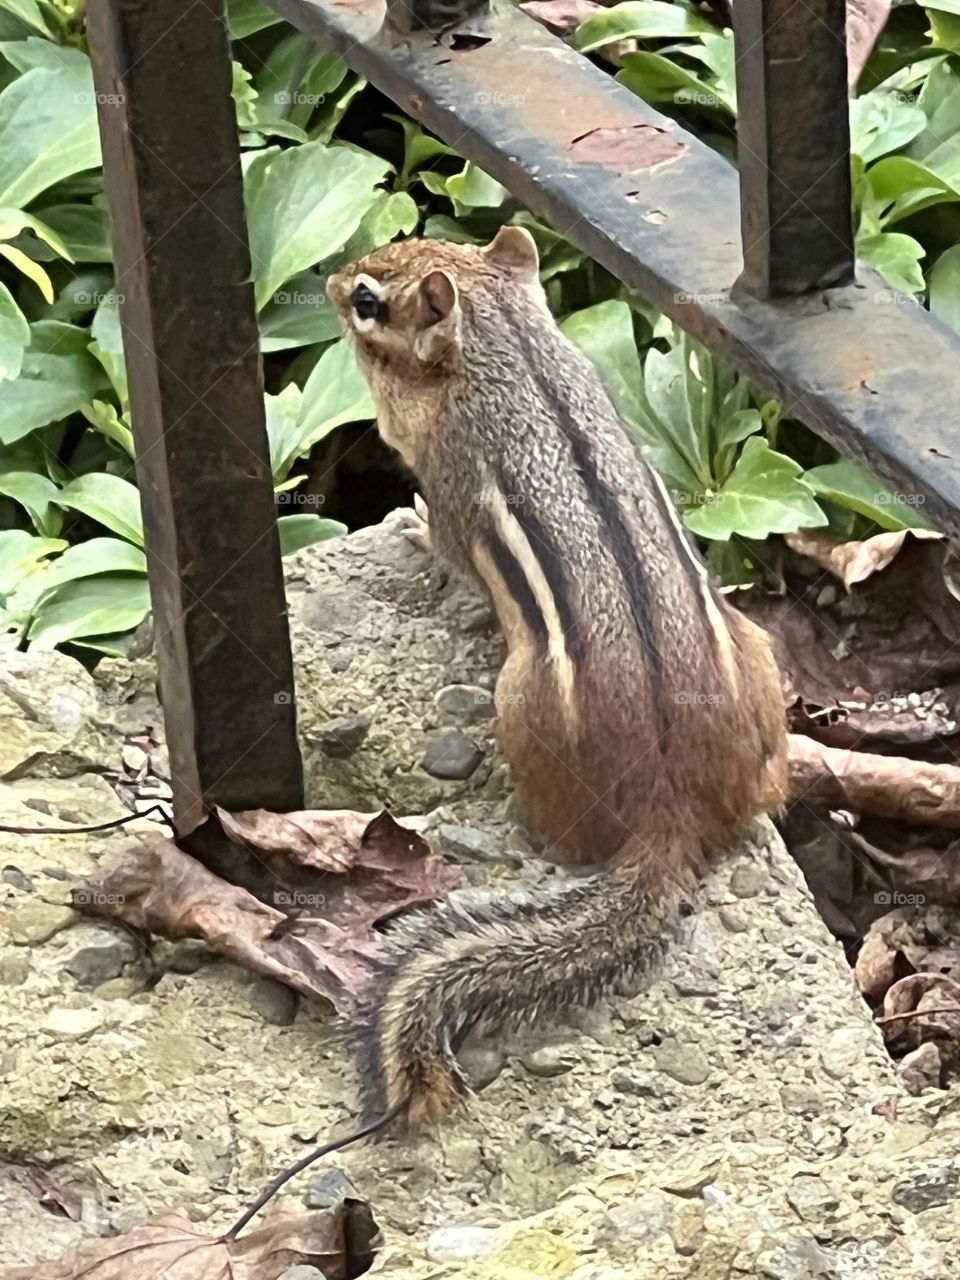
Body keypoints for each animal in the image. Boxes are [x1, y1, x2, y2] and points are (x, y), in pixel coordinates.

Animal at [326, 226, 788, 1128]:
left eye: (368, 300)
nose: (329, 280)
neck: (510, 347)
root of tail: (671, 802)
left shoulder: (448, 474)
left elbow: (445, 536)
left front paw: (408, 528)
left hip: (519, 707)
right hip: (759, 657)